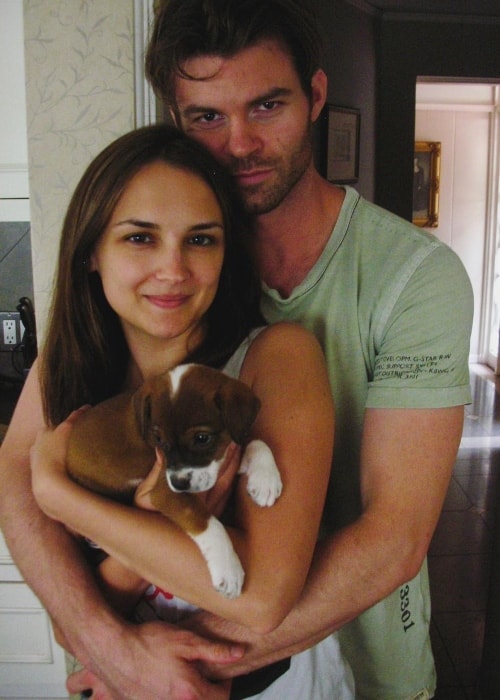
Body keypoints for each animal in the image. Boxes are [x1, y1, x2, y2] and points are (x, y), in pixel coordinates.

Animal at [67, 364, 282, 600]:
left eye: (202, 438)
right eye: (159, 439)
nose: (179, 484)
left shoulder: (225, 457)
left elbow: (256, 442)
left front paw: (265, 479)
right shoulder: (165, 490)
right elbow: (209, 523)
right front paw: (228, 569)